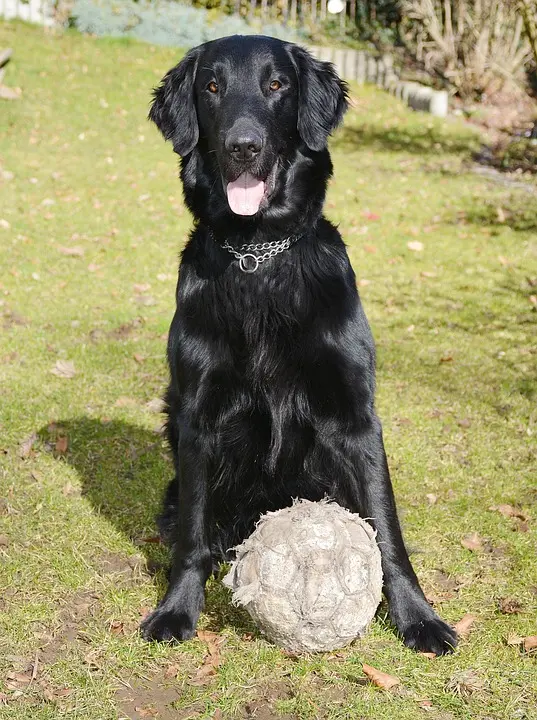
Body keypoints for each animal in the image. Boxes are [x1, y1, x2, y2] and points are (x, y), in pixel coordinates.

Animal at [139, 33, 456, 656]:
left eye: (276, 85)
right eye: (211, 86)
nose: (242, 147)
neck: (259, 257)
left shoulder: (356, 417)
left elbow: (387, 529)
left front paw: (417, 616)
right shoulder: (197, 417)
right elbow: (190, 534)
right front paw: (177, 608)